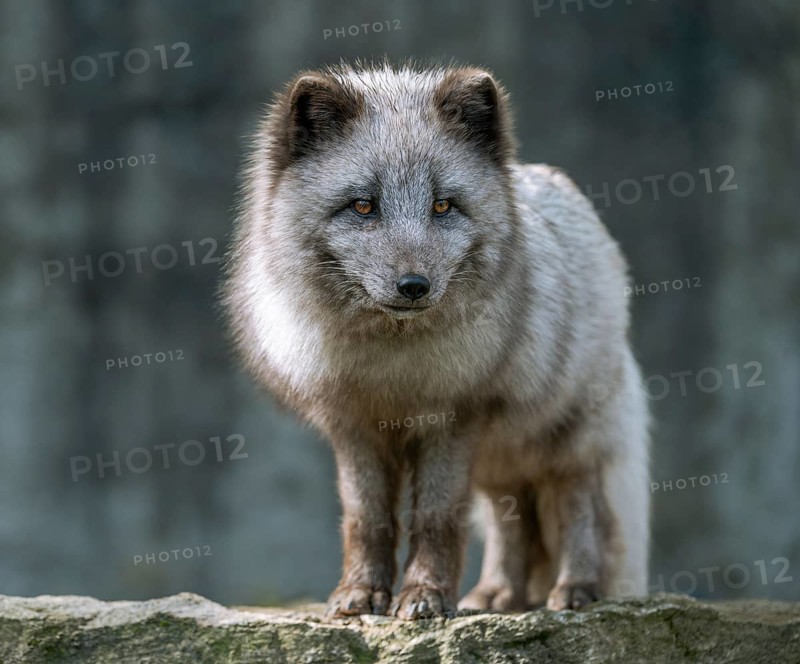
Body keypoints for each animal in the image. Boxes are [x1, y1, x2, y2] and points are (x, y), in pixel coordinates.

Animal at [221, 61, 650, 619]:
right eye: (363, 206)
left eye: (443, 205)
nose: (413, 286)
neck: (392, 365)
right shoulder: (352, 426)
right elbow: (367, 519)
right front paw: (361, 594)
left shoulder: (452, 421)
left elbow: (436, 518)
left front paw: (424, 595)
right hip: (501, 460)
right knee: (512, 521)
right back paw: (496, 597)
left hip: (567, 437)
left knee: (577, 506)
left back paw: (575, 590)